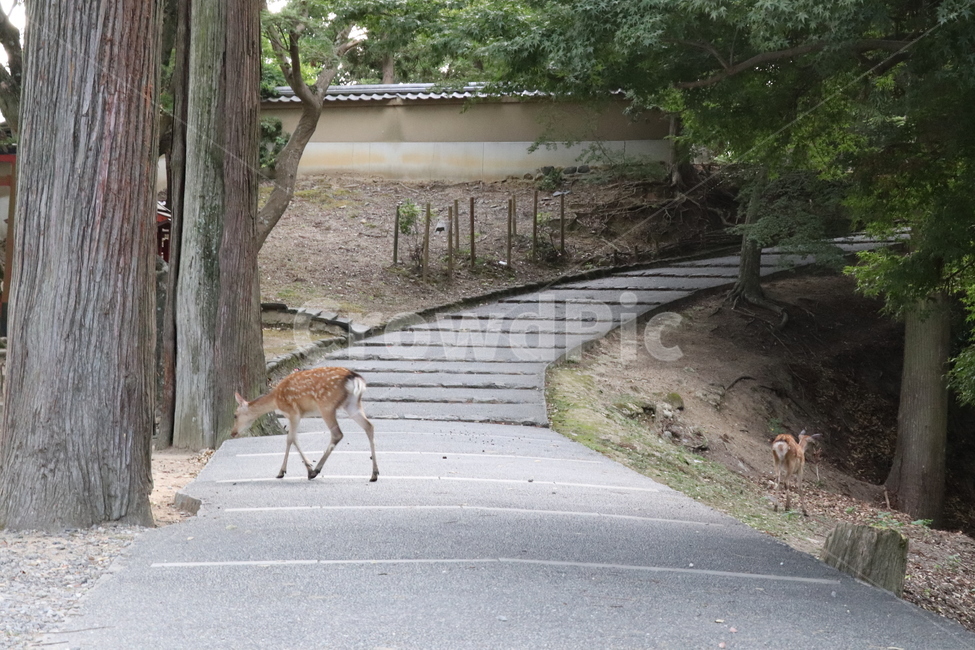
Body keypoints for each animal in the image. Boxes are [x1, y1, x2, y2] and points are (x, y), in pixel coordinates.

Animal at [231, 367, 379, 482]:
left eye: (235, 415)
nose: (232, 432)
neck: (276, 400)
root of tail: (354, 378)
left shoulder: (293, 412)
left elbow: (291, 438)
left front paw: (301, 469)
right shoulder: (296, 415)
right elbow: (290, 439)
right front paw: (284, 471)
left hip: (326, 405)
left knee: (337, 434)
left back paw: (316, 470)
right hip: (352, 404)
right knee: (369, 426)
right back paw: (374, 474)